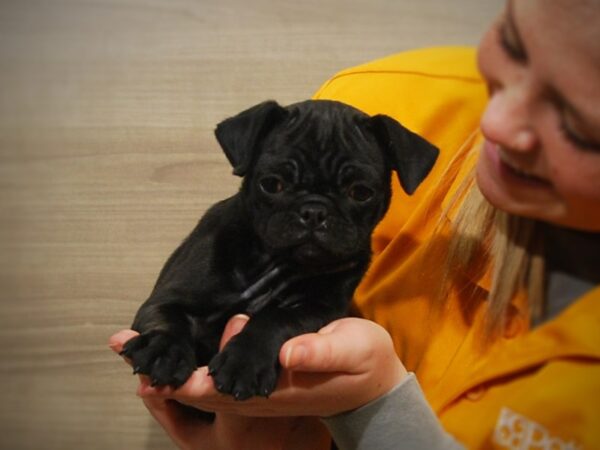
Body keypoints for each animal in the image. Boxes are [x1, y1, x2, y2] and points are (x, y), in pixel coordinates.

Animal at [119, 100, 436, 402]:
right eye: (272, 184)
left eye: (361, 192)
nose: (314, 211)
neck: (273, 260)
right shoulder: (167, 298)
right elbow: (167, 321)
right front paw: (163, 350)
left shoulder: (316, 310)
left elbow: (275, 319)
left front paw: (245, 363)